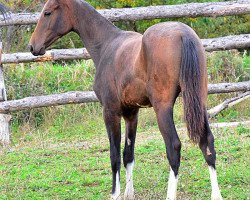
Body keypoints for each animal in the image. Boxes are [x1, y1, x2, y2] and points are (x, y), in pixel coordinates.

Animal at [29, 0, 223, 199]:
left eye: (47, 12)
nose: (33, 46)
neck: (107, 45)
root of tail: (184, 34)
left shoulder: (110, 112)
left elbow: (114, 155)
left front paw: (115, 194)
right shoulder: (131, 113)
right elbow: (128, 154)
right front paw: (129, 193)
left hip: (163, 109)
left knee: (174, 147)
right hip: (199, 103)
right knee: (207, 143)